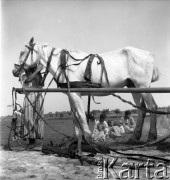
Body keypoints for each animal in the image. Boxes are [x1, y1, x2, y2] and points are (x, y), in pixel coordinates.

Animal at [12, 37, 159, 153]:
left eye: (22, 52)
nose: (14, 71)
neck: (64, 64)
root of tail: (148, 54)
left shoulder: (75, 94)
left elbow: (81, 117)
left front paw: (89, 140)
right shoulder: (71, 95)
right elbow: (75, 119)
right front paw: (76, 145)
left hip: (142, 85)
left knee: (152, 107)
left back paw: (151, 136)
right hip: (134, 86)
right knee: (142, 110)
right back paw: (134, 137)